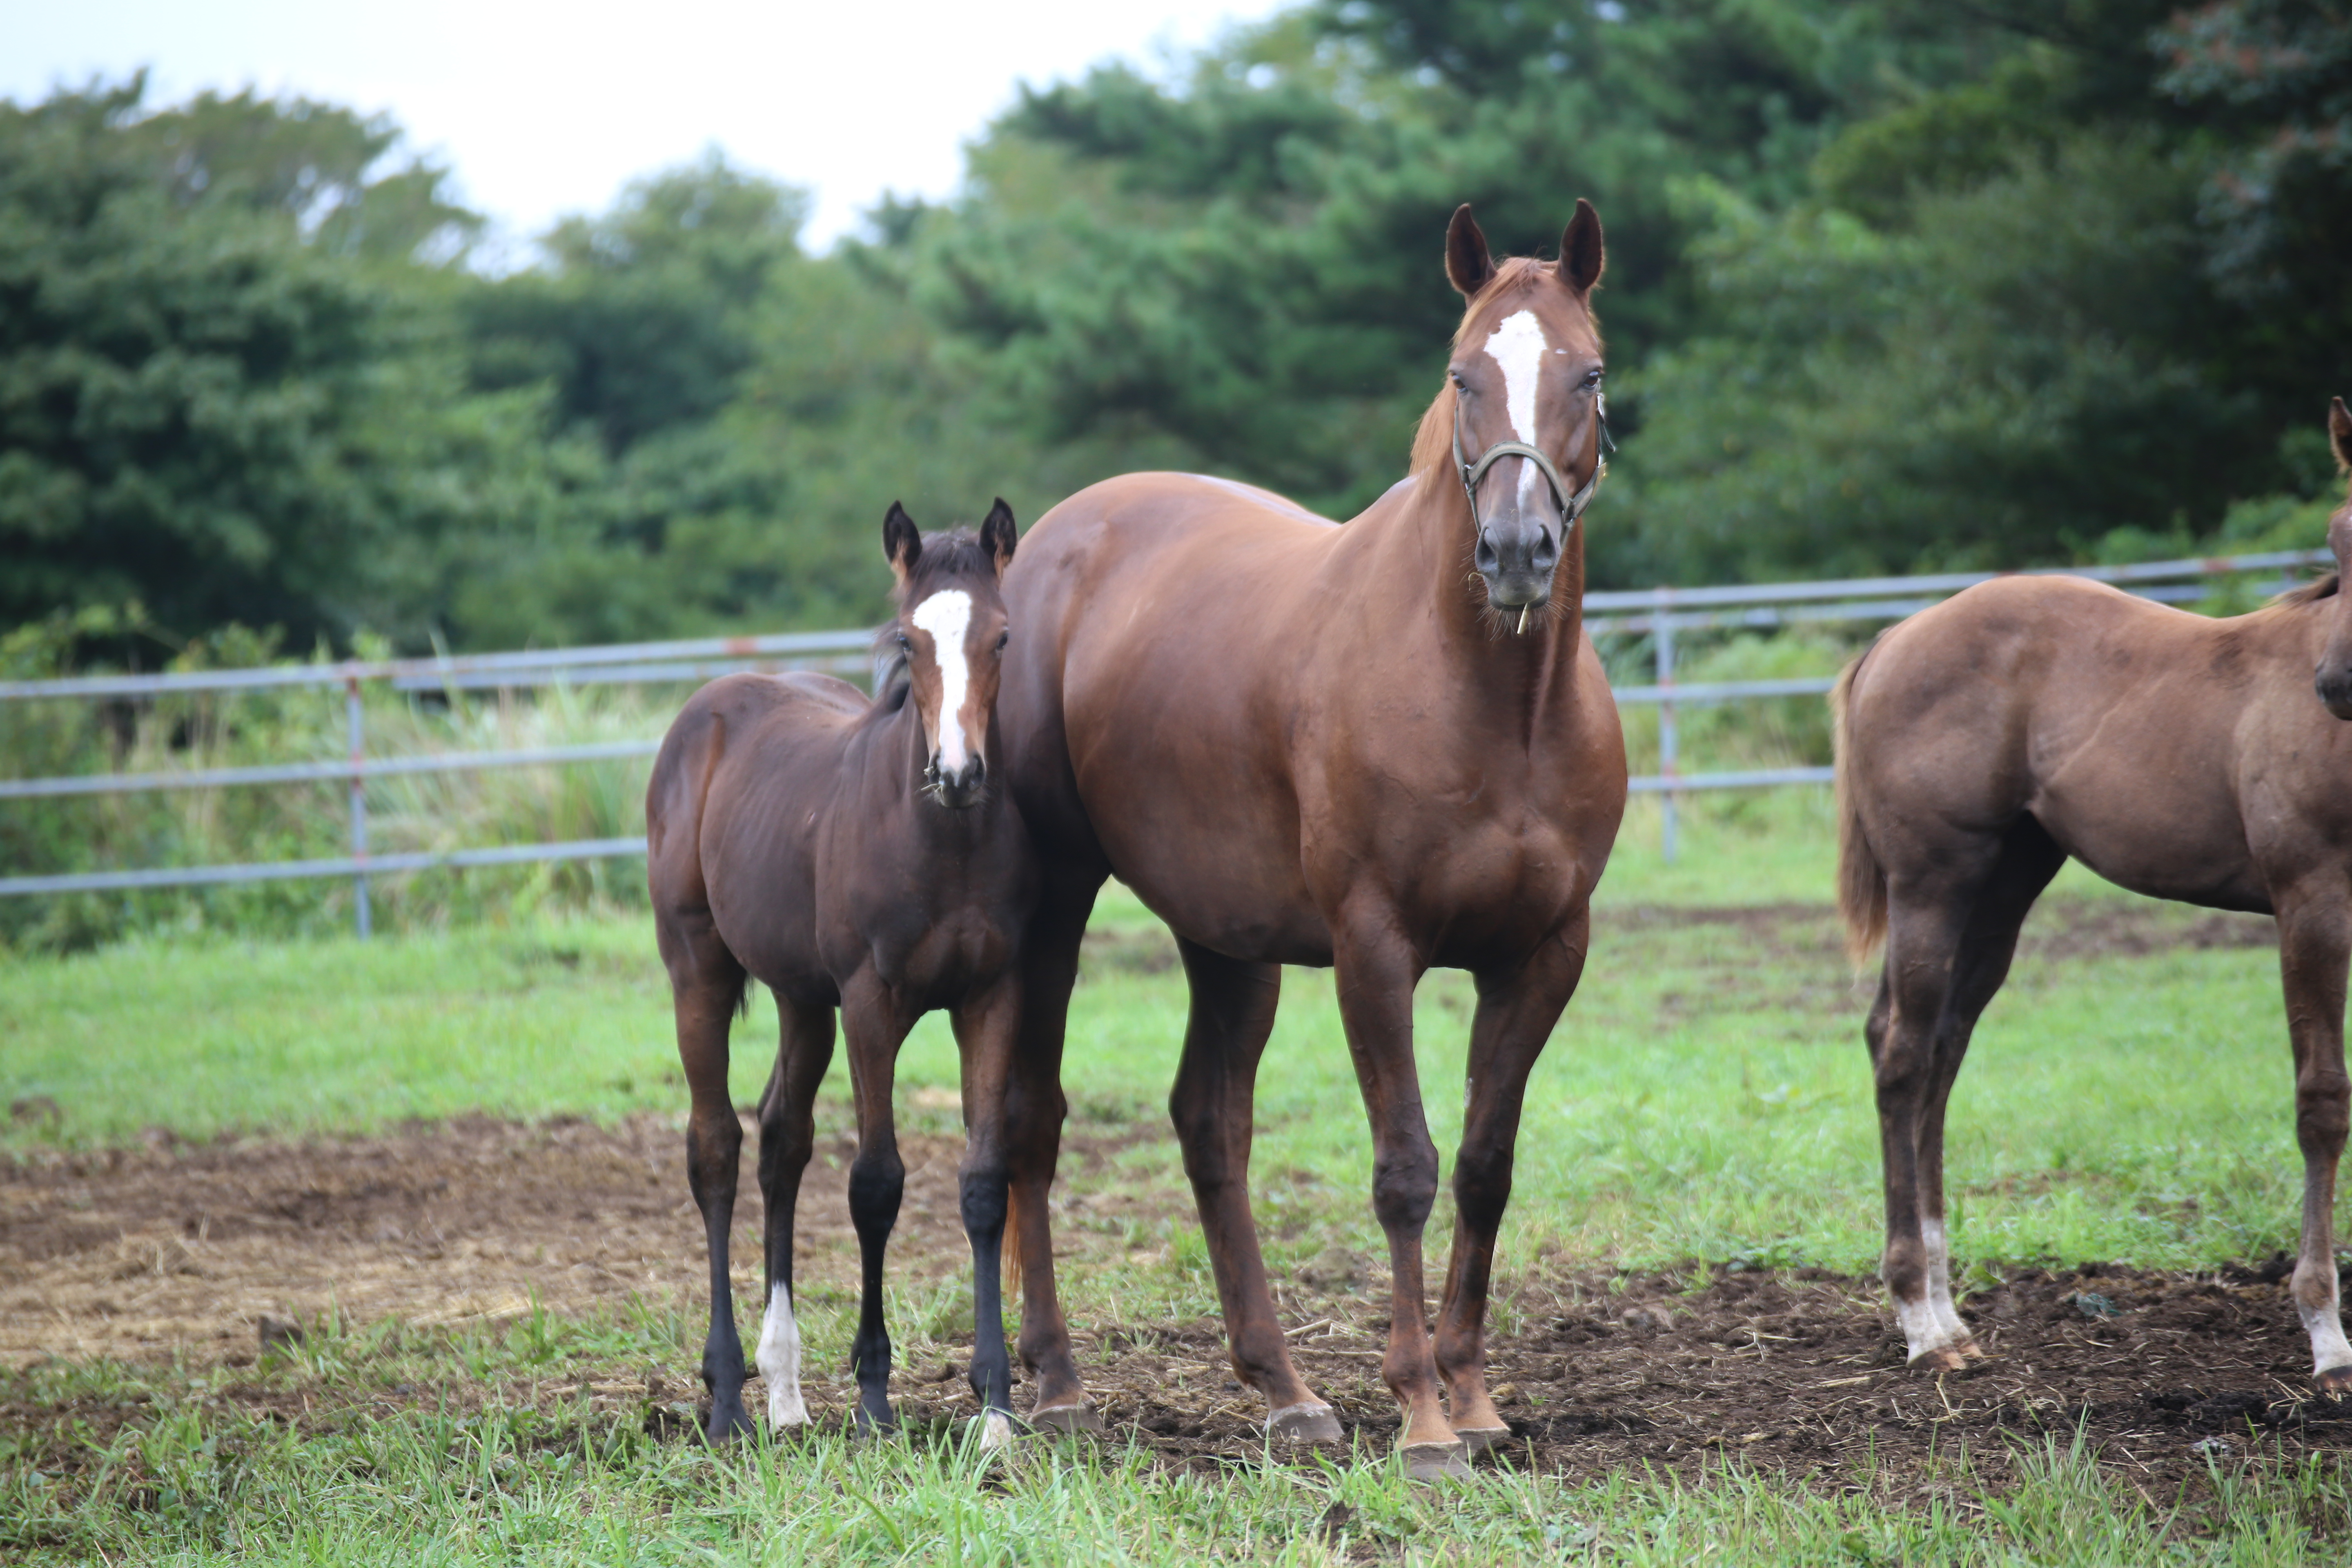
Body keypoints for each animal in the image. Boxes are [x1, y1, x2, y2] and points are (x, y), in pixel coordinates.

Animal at [654, 503, 1039, 1448]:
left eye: (1003, 636)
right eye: (908, 638)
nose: (958, 774)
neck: (942, 842)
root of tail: (708, 707)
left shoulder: (992, 996)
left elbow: (983, 1185)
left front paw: (996, 1406)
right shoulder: (873, 1000)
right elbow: (876, 1184)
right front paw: (872, 1396)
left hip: (802, 999)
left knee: (781, 1140)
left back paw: (786, 1394)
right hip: (698, 970)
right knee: (716, 1148)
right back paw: (727, 1398)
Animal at [997, 202, 1637, 1476]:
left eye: (1587, 375)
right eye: (1463, 374)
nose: (1516, 553)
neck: (1495, 700)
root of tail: (1055, 539)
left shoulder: (1544, 952)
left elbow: (1484, 1166)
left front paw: (1474, 1397)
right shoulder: (1373, 947)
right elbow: (1405, 1171)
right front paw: (1424, 1419)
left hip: (1227, 940)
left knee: (1209, 1126)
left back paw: (1284, 1391)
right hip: (1057, 904)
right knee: (1034, 1117)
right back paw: (1056, 1382)